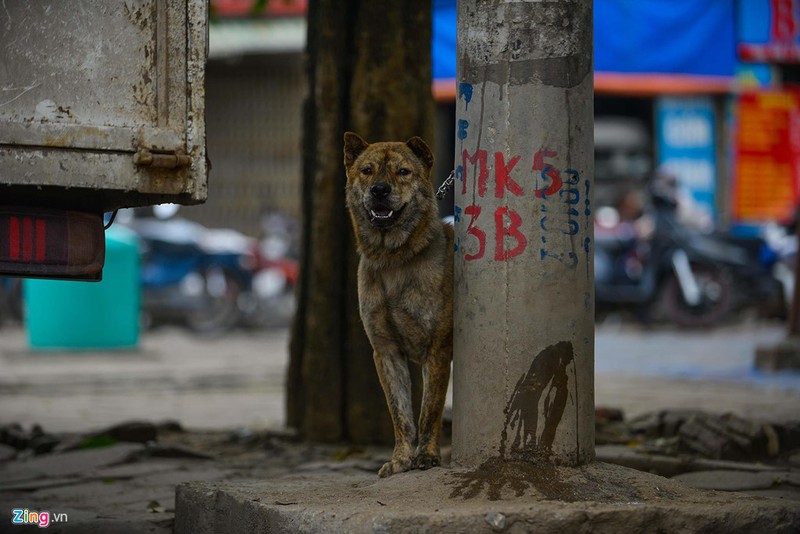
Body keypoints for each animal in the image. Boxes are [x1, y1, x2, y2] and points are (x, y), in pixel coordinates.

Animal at [346, 132, 456, 480]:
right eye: (367, 170)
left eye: (403, 171)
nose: (380, 190)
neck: (393, 259)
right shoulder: (386, 352)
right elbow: (401, 414)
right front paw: (401, 459)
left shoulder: (438, 350)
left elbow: (429, 410)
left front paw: (427, 456)